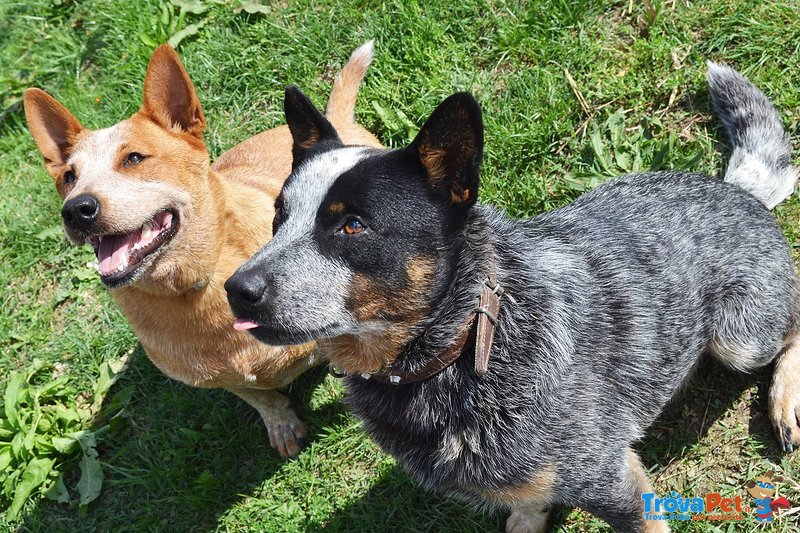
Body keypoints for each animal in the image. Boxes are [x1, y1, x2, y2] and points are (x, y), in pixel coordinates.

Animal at [21, 41, 378, 458]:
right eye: (69, 176)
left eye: (134, 158)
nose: (76, 210)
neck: (196, 285)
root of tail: (334, 125)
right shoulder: (224, 379)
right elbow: (259, 397)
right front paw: (282, 423)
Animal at [227, 63, 800, 532]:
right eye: (278, 218)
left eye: (352, 225)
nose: (237, 289)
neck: (464, 345)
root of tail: (739, 188)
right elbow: (527, 498)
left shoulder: (612, 482)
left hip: (740, 338)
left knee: (792, 324)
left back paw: (784, 401)